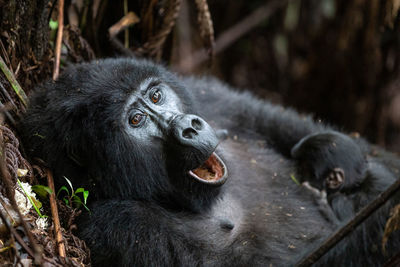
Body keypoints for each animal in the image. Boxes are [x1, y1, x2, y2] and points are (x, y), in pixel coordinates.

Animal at [21, 58, 400, 266]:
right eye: (135, 120)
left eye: (156, 95)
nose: (189, 126)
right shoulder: (116, 225)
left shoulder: (207, 97)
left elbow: (273, 121)